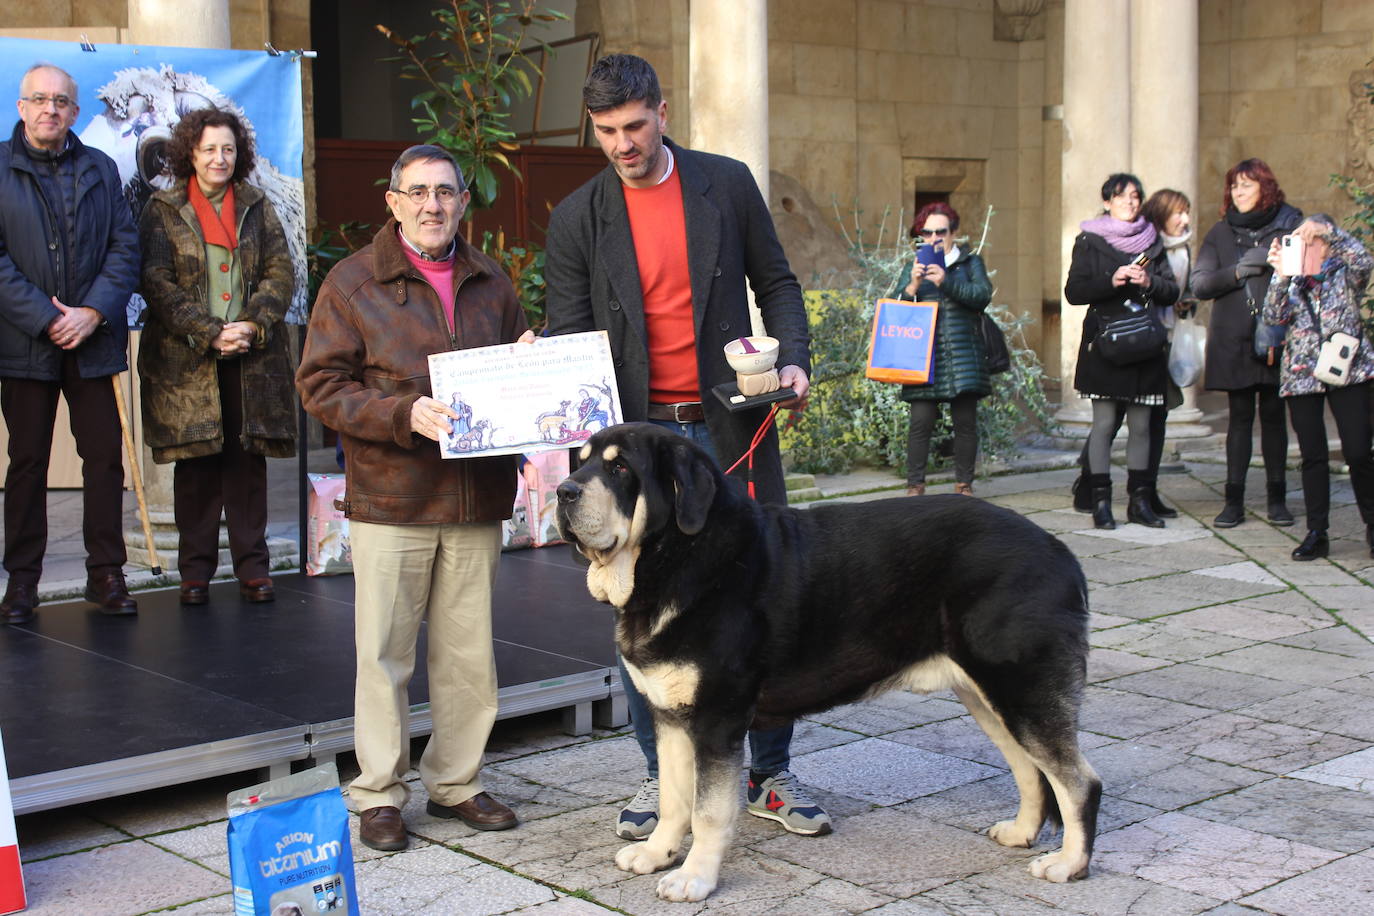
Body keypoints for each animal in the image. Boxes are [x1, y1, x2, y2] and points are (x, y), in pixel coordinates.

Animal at [552, 425, 1099, 900]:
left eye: (620, 468)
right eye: (580, 463)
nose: (562, 491)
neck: (677, 560)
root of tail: (1060, 551)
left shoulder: (717, 719)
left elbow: (707, 810)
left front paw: (695, 878)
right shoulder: (669, 717)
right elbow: (672, 797)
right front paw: (657, 853)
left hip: (1022, 692)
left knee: (1078, 781)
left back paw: (1069, 864)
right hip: (990, 698)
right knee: (1030, 770)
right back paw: (1022, 832)